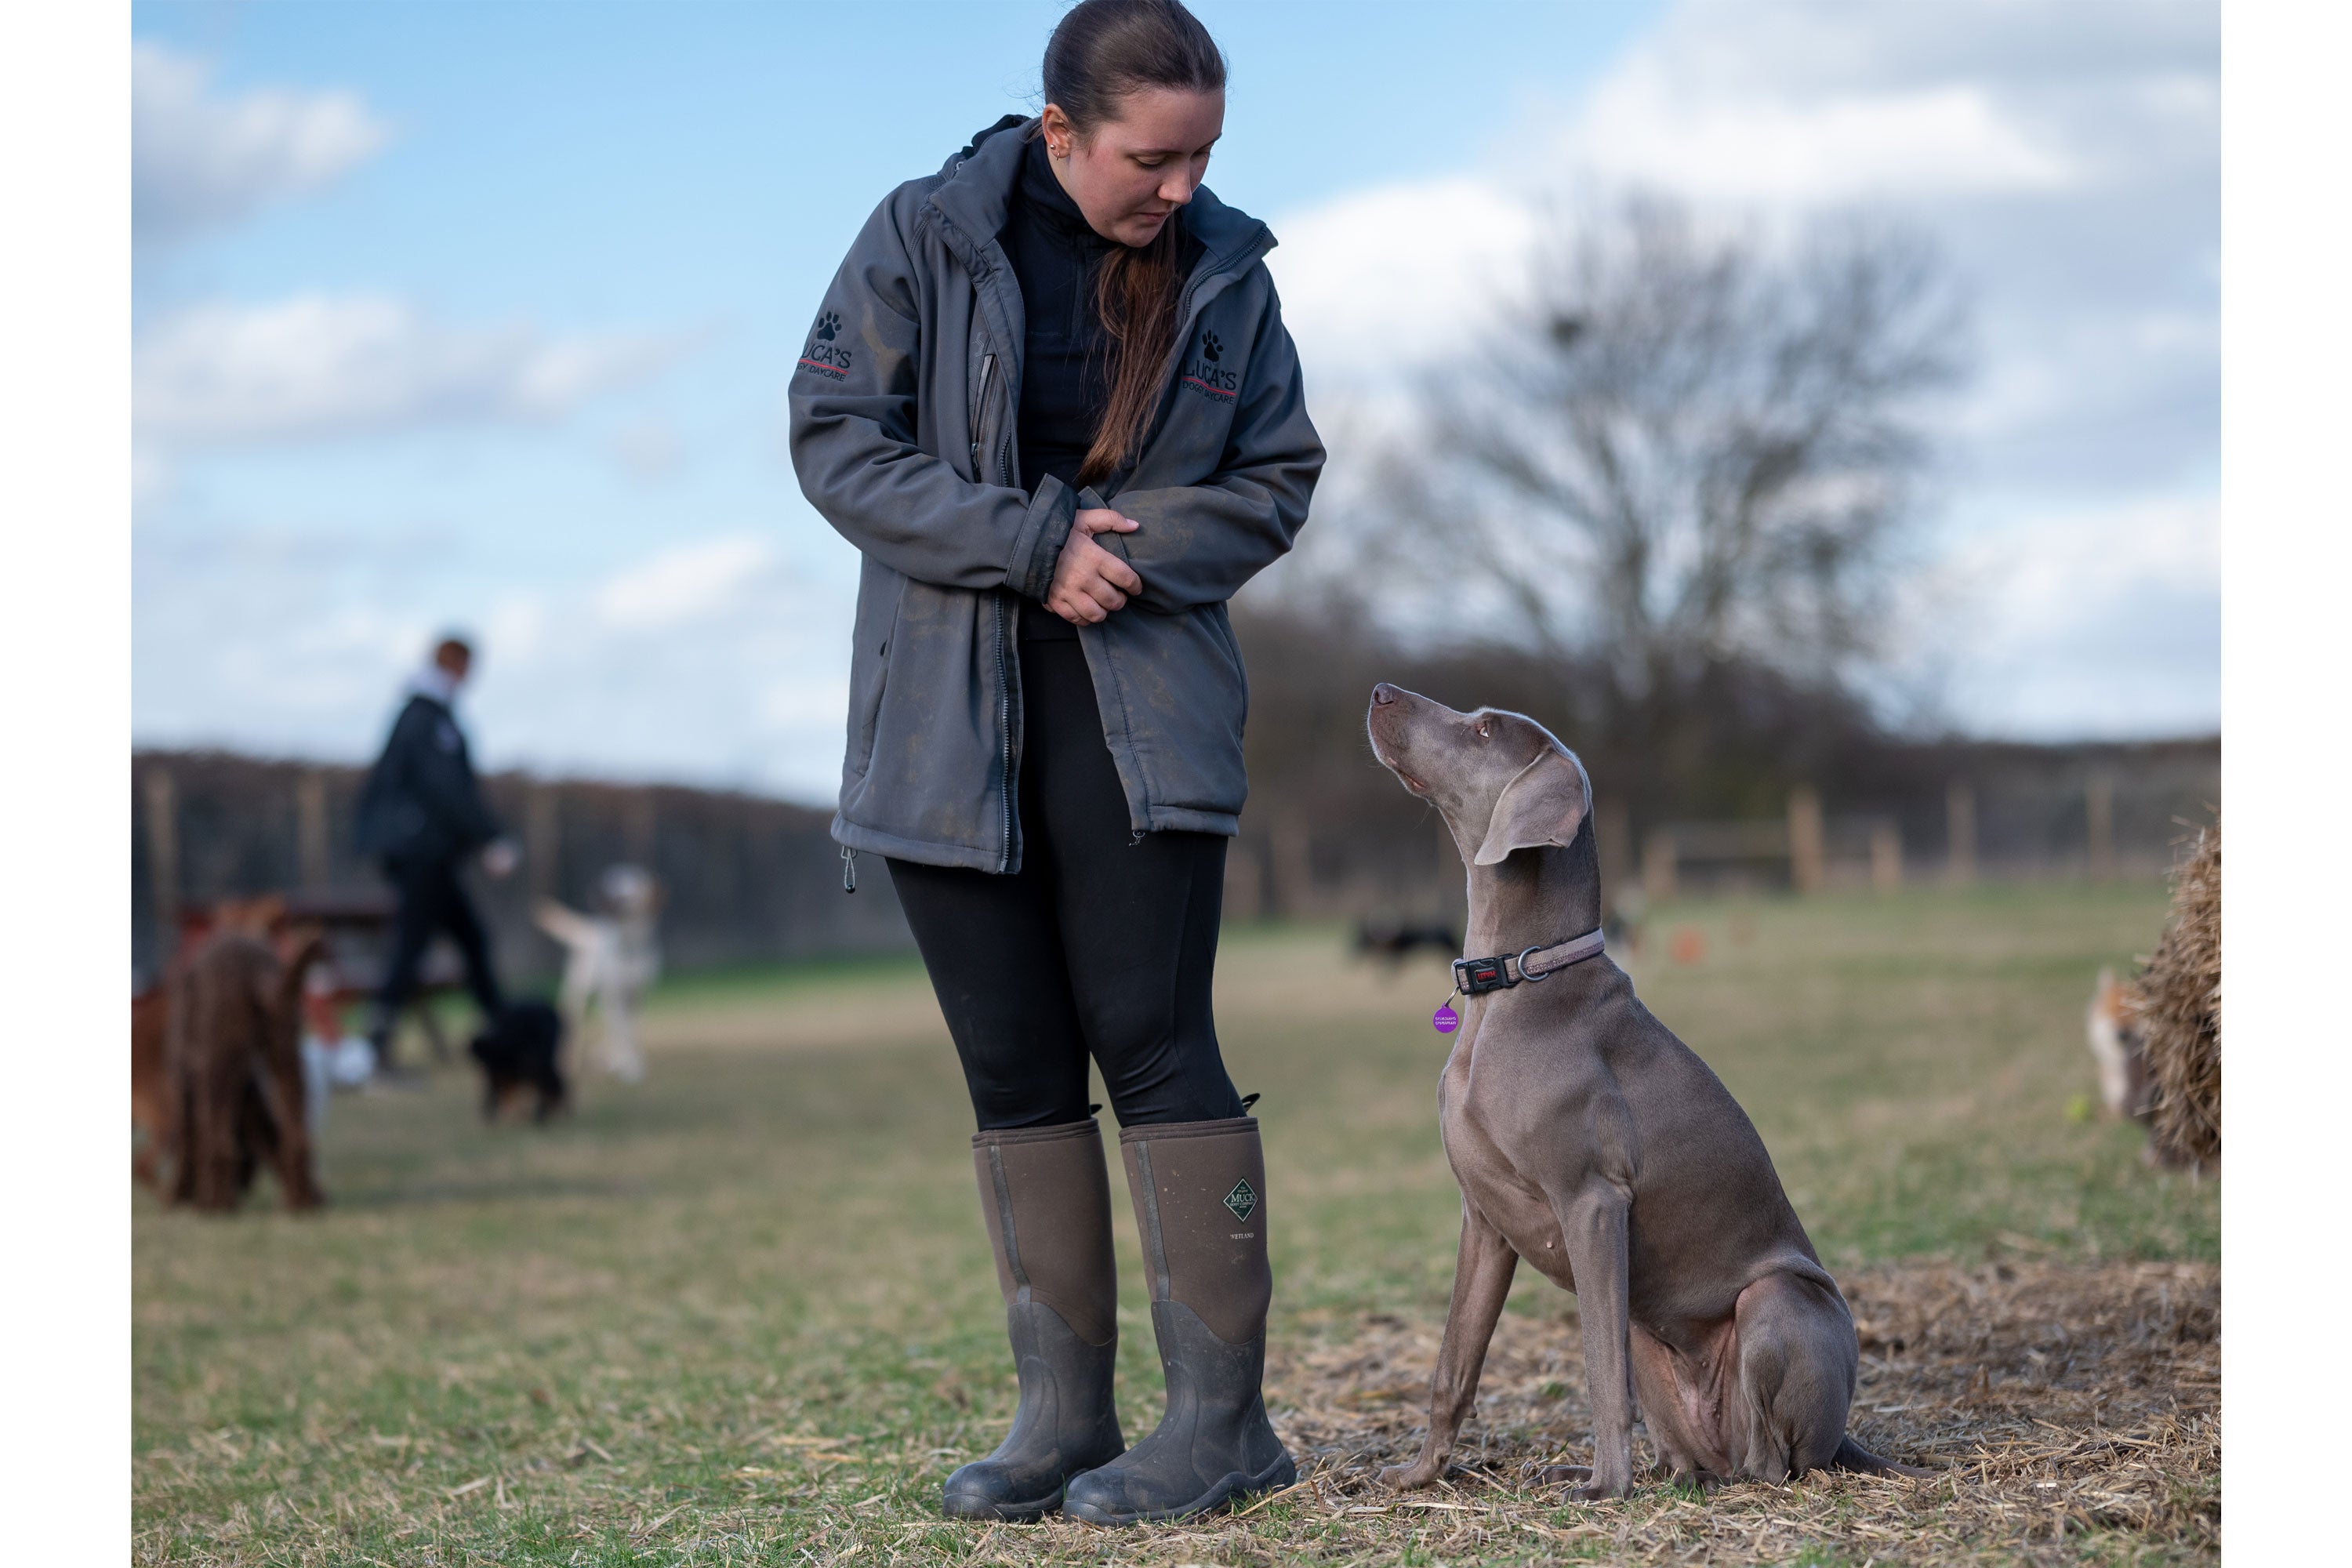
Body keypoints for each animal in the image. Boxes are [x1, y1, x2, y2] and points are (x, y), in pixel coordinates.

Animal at [539, 865, 668, 1086]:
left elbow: (631, 1032)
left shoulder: (637, 997)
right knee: (574, 1028)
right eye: (608, 883)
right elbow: (623, 1033)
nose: (597, 893)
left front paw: (631, 1062)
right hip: (578, 994)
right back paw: (570, 1062)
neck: (630, 949)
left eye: (625, 894)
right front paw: (628, 1066)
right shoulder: (616, 996)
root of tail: (591, 930)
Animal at [1374, 681, 1919, 1495]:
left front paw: (1603, 1488)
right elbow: (1453, 1366)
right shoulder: (1484, 1218)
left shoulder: (1593, 1203)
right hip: (1649, 1330)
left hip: (1778, 1299)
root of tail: (1846, 1437)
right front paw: (1417, 1474)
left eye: (1484, 729)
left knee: (1769, 1462)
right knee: (1692, 1451)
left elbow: (1599, 1371)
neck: (1517, 983)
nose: (1380, 692)